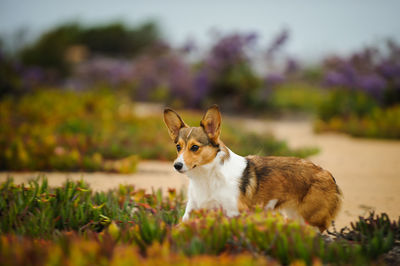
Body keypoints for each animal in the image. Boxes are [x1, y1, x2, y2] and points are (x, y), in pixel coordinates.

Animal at [162, 105, 340, 232]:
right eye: (178, 147)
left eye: (194, 147)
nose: (177, 165)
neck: (206, 177)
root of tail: (327, 173)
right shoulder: (191, 212)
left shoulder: (233, 213)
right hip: (294, 216)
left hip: (311, 220)